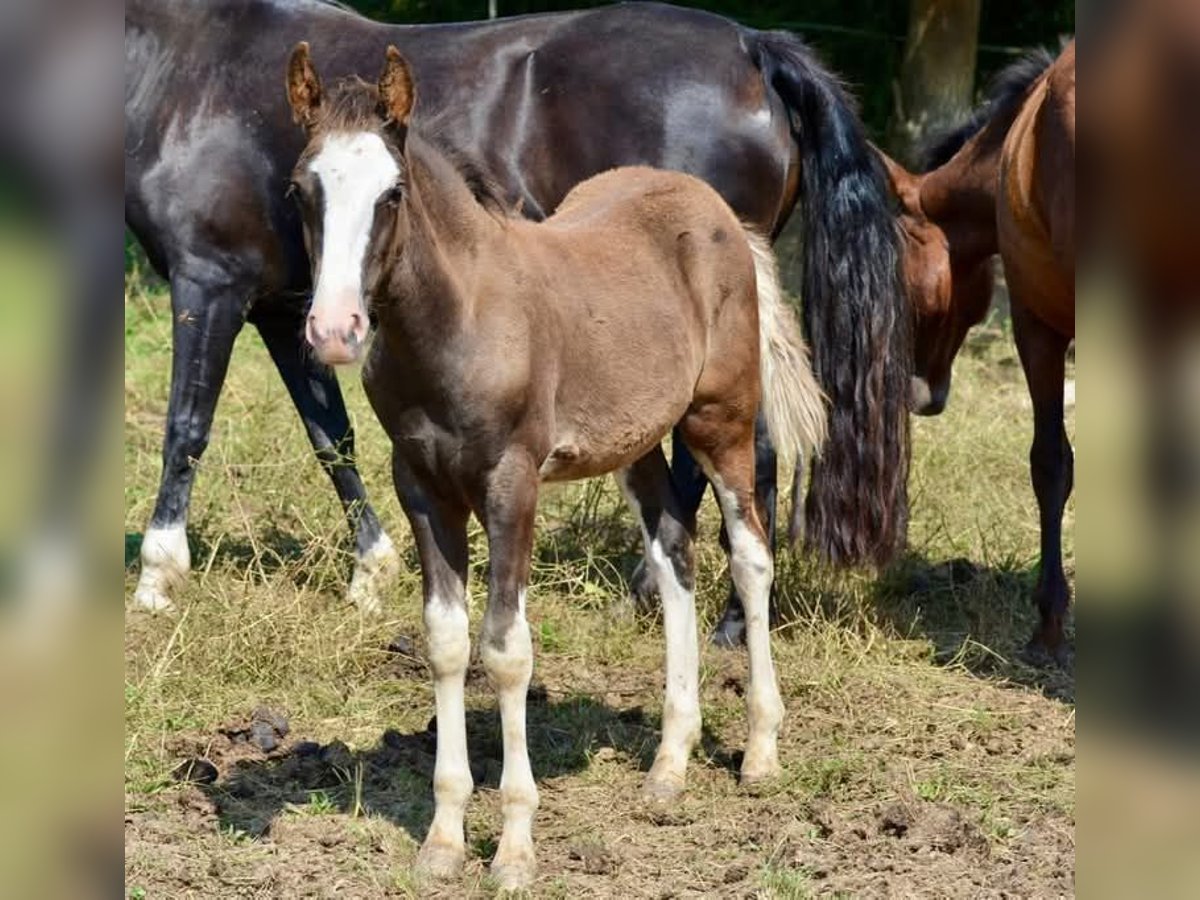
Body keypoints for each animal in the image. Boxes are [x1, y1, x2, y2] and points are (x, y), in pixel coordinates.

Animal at [124, 0, 907, 619]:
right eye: (299, 191)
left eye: (393, 195)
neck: (188, 68)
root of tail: (751, 46)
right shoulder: (289, 314)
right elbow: (332, 437)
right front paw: (371, 573)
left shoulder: (209, 285)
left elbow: (185, 427)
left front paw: (158, 579)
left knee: (750, 454)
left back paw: (727, 625)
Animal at [283, 45, 825, 892]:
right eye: (302, 190)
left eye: (391, 193)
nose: (334, 330)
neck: (460, 320)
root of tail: (719, 213)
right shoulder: (421, 486)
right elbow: (446, 641)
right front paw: (442, 841)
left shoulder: (513, 483)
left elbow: (507, 651)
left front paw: (513, 850)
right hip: (635, 443)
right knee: (674, 552)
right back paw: (669, 764)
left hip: (722, 420)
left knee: (749, 557)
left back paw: (762, 751)